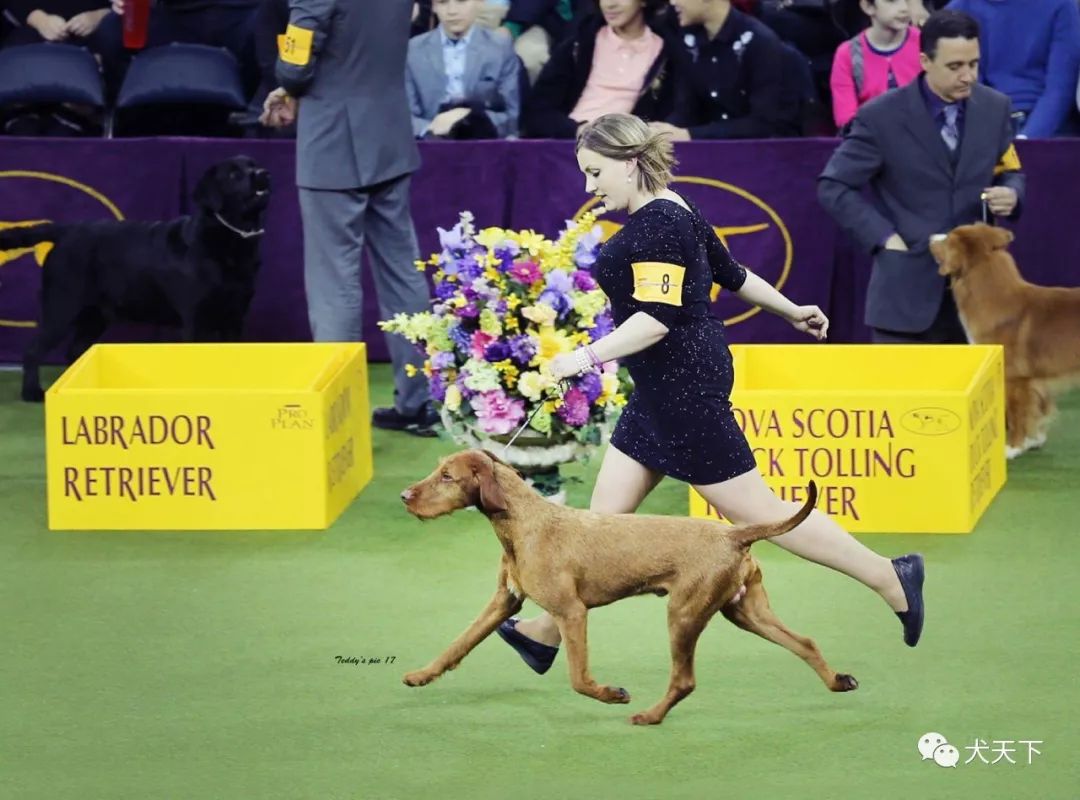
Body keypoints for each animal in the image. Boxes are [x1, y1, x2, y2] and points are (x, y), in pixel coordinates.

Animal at [401, 449, 855, 725]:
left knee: (685, 680)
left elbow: (578, 678)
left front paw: (613, 694)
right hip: (745, 610)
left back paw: (649, 717)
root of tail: (735, 534)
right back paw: (838, 681)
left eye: (447, 476)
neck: (523, 524)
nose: (405, 495)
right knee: (805, 642)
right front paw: (421, 675)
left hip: (684, 613)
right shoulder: (504, 601)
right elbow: (458, 643)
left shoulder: (571, 611)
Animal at [928, 223, 1080, 455]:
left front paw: (1013, 447)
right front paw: (1033, 440)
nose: (930, 236)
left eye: (947, 240)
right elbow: (1036, 411)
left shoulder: (1014, 378)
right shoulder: (1035, 383)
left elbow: (1017, 415)